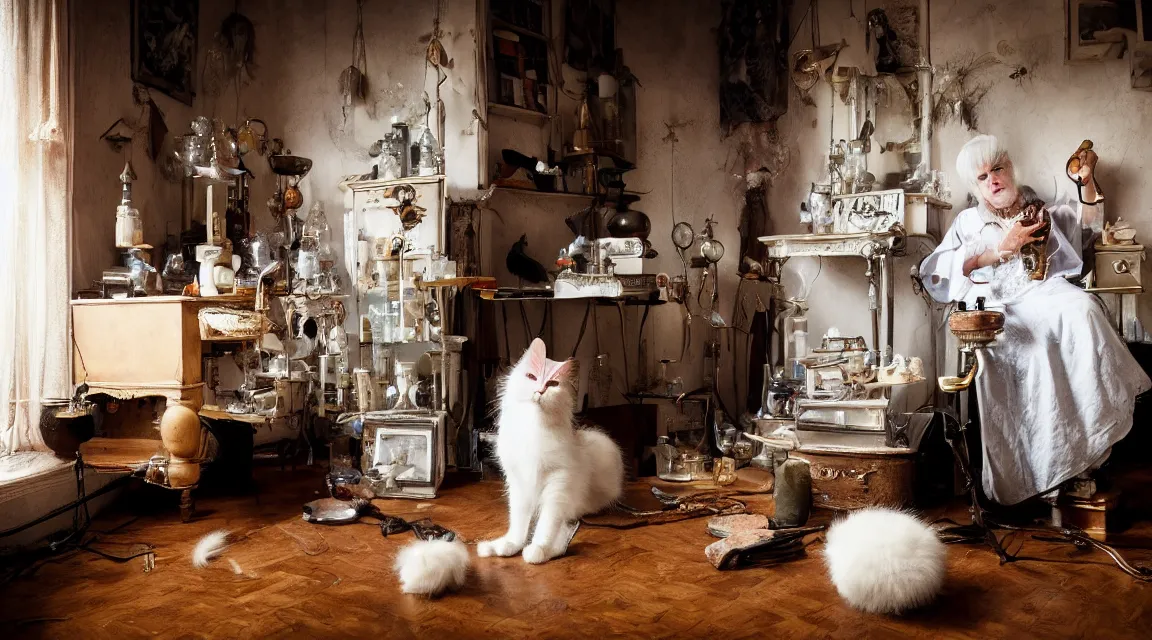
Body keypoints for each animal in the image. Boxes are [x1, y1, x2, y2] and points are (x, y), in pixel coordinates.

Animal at [474, 338, 626, 561]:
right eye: (531, 377)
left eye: (552, 384)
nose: (539, 390)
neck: (533, 429)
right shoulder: (518, 483)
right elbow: (518, 523)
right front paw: (509, 545)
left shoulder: (558, 481)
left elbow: (547, 523)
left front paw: (539, 550)